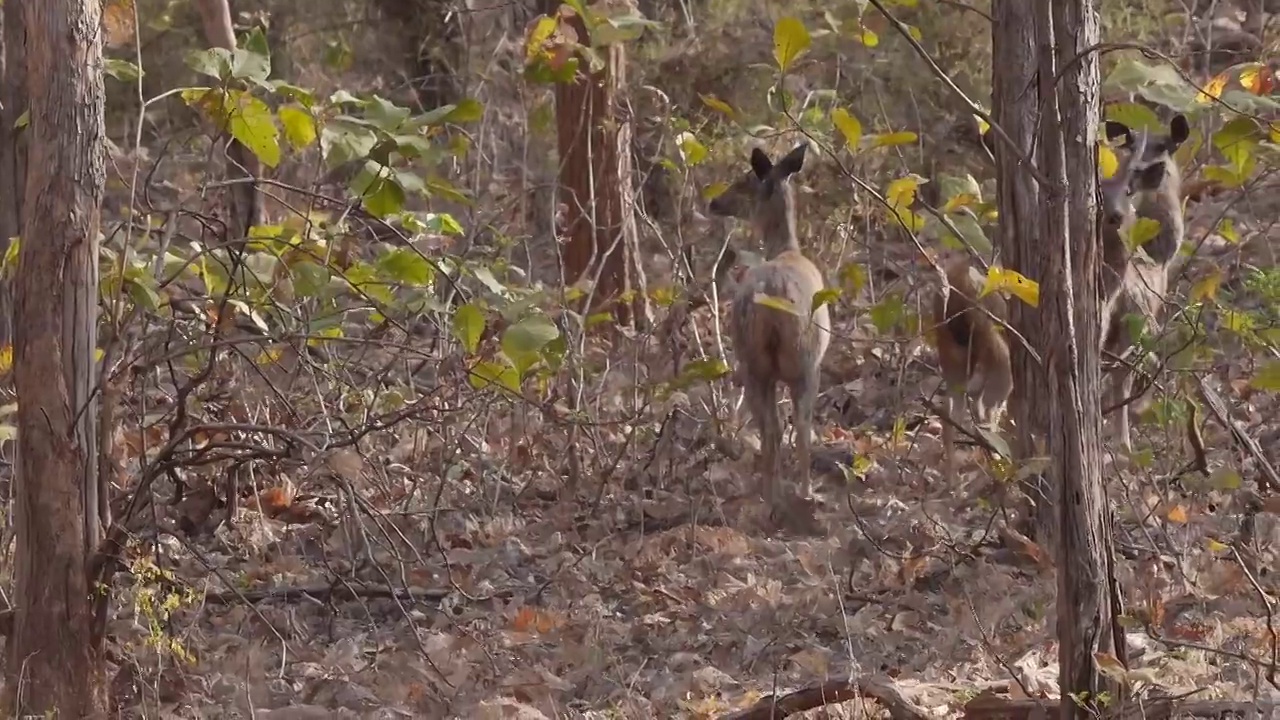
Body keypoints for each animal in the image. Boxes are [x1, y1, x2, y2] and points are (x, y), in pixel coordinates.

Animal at [711, 141, 829, 509]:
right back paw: (795, 493)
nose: (713, 202)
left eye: (744, 181)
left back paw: (776, 494)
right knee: (793, 427)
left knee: (776, 427)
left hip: (760, 362)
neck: (787, 249)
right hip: (799, 360)